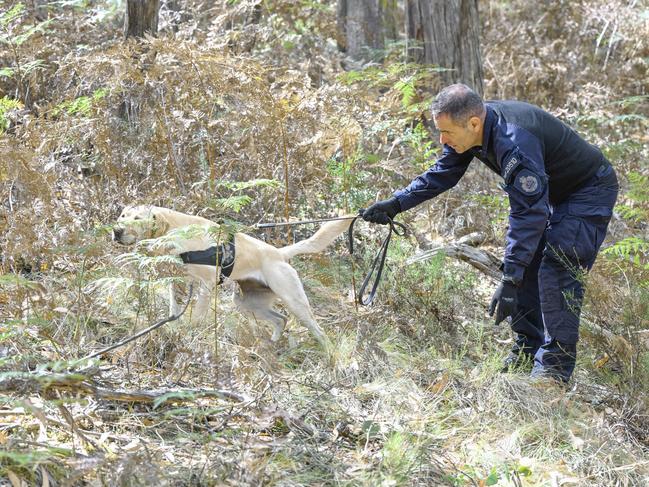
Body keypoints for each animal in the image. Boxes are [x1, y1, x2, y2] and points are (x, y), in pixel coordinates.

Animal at [114, 205, 352, 346]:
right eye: (123, 216)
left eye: (137, 218)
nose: (116, 231)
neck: (176, 231)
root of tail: (280, 253)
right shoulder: (177, 281)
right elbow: (174, 308)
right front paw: (172, 328)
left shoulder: (206, 285)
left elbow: (197, 317)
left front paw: (191, 334)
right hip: (247, 303)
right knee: (280, 319)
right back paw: (273, 343)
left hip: (295, 302)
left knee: (318, 330)